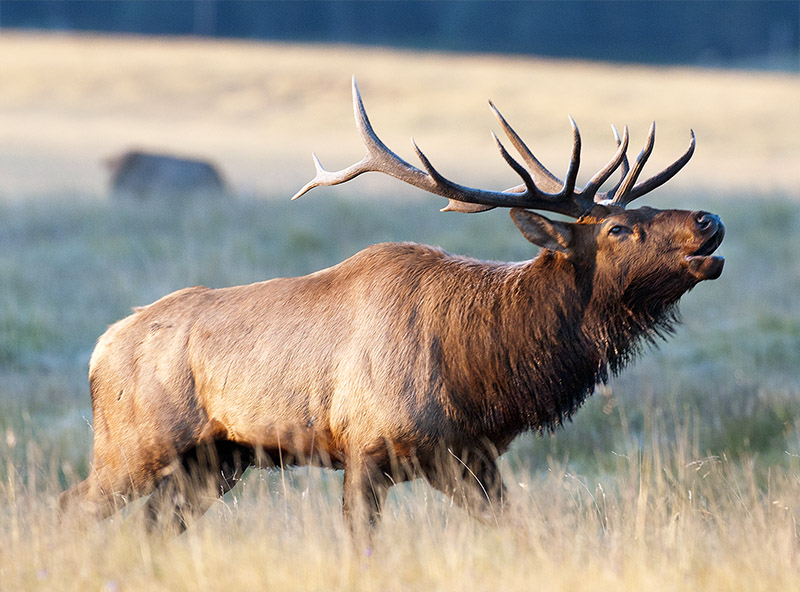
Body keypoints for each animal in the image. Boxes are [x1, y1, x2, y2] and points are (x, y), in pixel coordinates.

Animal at [59, 78, 724, 534]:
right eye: (617, 228)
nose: (708, 219)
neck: (482, 370)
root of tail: (98, 349)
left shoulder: (469, 458)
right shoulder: (366, 448)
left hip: (216, 459)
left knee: (153, 524)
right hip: (134, 444)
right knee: (71, 505)